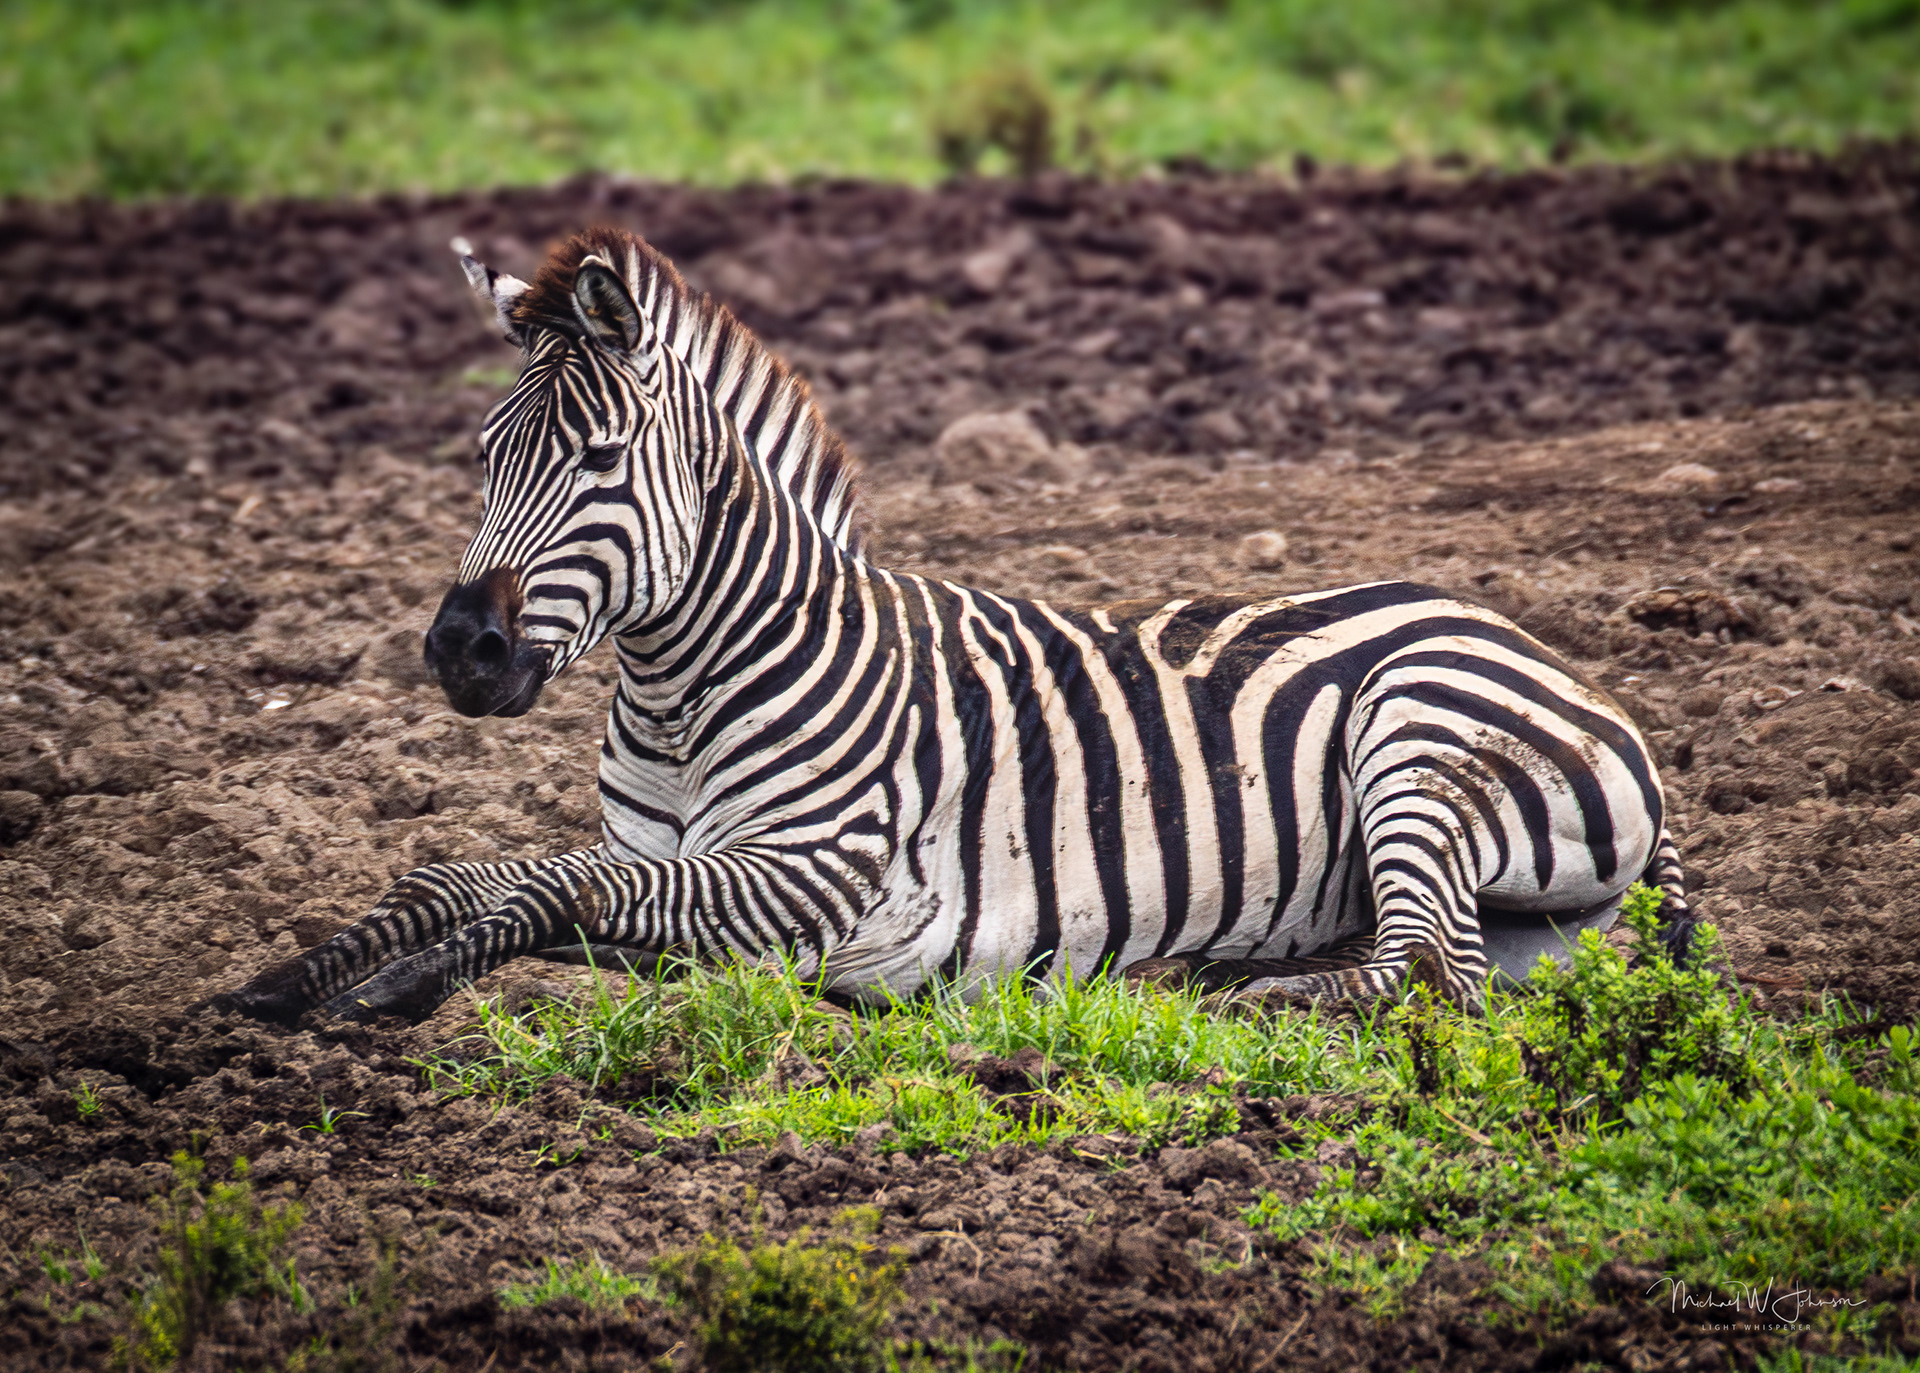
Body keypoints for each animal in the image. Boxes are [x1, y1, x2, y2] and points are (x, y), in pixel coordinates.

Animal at [212, 226, 1692, 1028]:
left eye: (601, 462)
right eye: (480, 456)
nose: (457, 650)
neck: (687, 691)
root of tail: (1551, 653)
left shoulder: (816, 879)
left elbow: (544, 890)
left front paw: (384, 993)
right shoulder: (674, 863)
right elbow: (457, 879)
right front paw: (279, 985)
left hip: (1413, 737)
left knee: (1429, 970)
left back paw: (1216, 992)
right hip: (1523, 898)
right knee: (1456, 959)